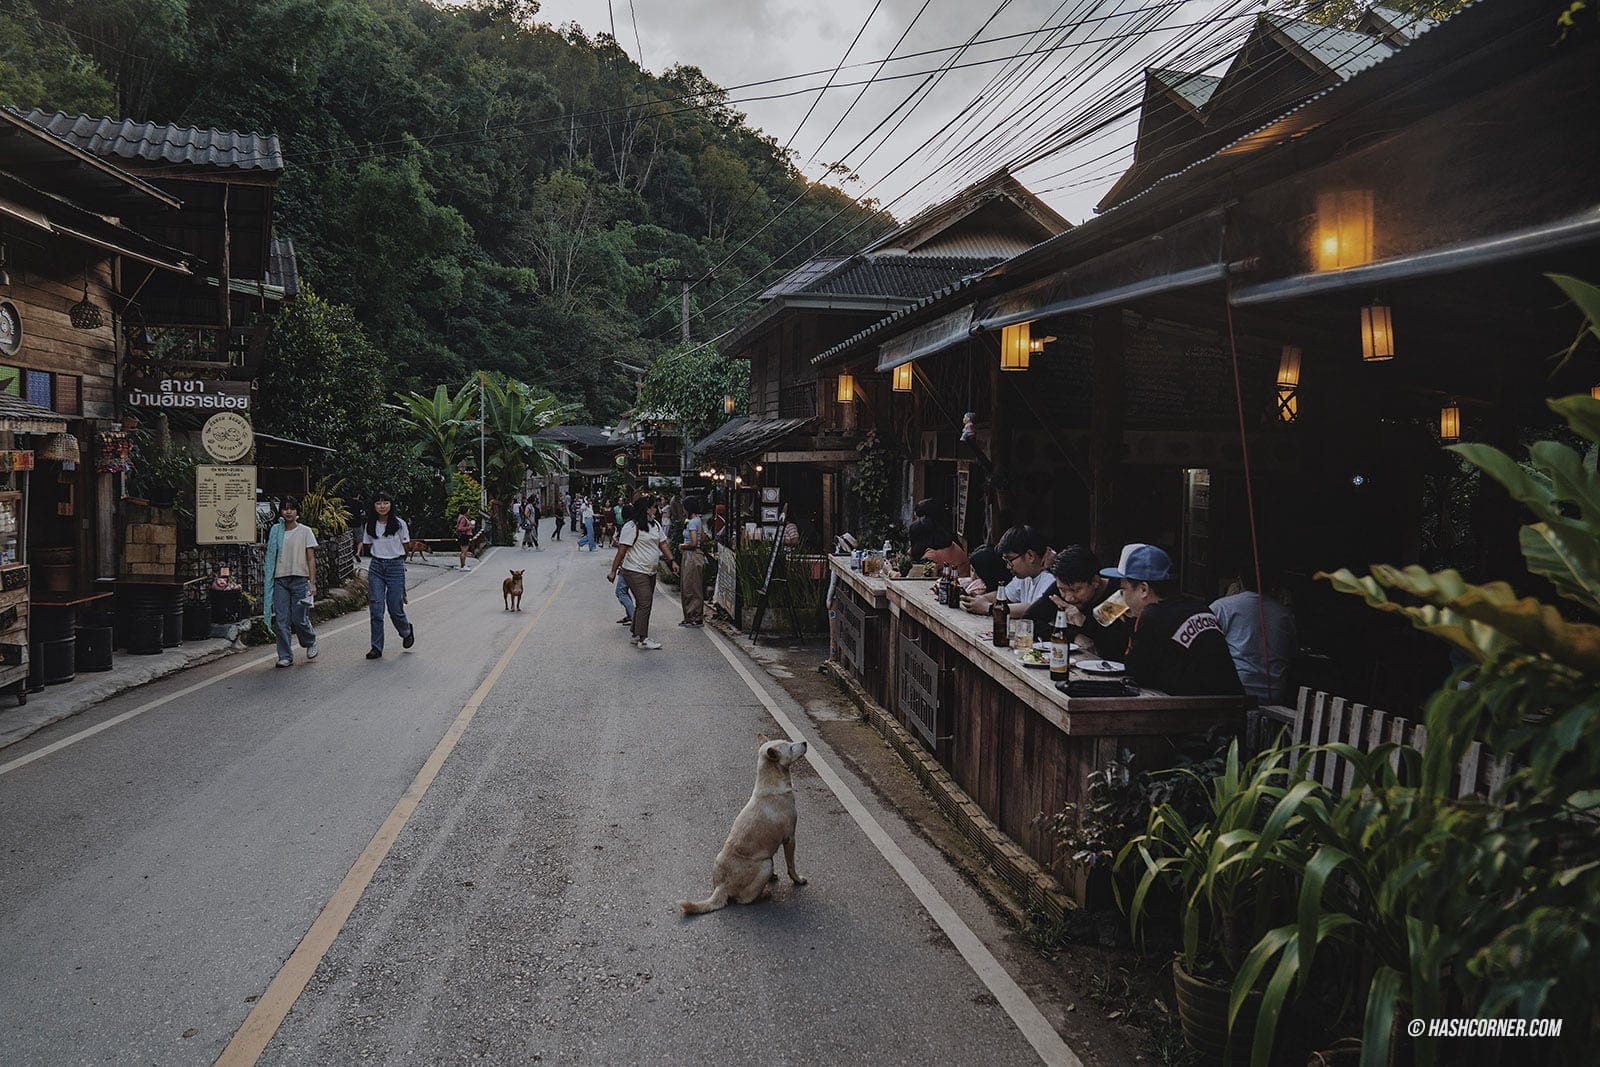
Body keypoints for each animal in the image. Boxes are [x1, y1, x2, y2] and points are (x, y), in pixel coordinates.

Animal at [675, 739, 806, 915]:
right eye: (790, 747)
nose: (805, 742)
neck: (771, 782)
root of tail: (721, 886)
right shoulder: (790, 838)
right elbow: (791, 865)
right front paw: (798, 880)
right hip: (765, 864)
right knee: (744, 899)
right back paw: (764, 894)